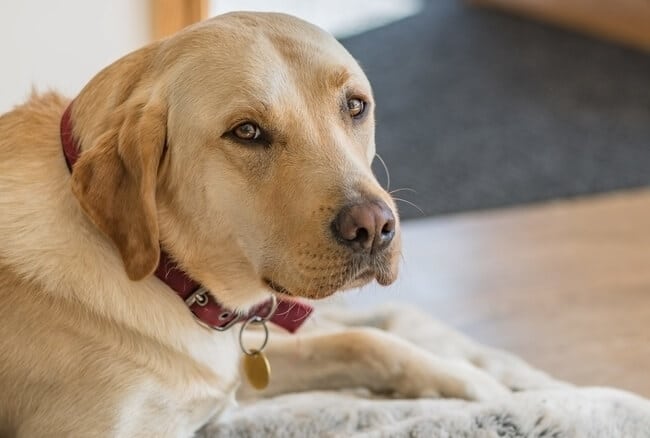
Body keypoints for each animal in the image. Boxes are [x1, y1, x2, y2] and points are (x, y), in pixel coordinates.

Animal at [0, 12, 512, 436]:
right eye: (246, 132)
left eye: (355, 106)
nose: (373, 227)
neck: (176, 281)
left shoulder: (242, 368)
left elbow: (365, 340)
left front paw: (479, 380)